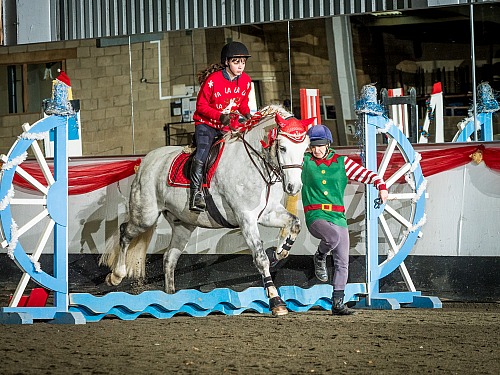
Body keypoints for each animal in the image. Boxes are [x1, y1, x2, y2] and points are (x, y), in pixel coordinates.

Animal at [99, 106, 314, 318]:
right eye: (283, 147)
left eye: (305, 148)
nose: (294, 187)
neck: (257, 165)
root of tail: (145, 162)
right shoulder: (246, 218)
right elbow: (261, 259)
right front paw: (276, 301)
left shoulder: (268, 213)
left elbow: (295, 223)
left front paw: (280, 251)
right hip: (145, 215)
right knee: (125, 232)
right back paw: (116, 276)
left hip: (183, 225)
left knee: (169, 257)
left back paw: (171, 299)